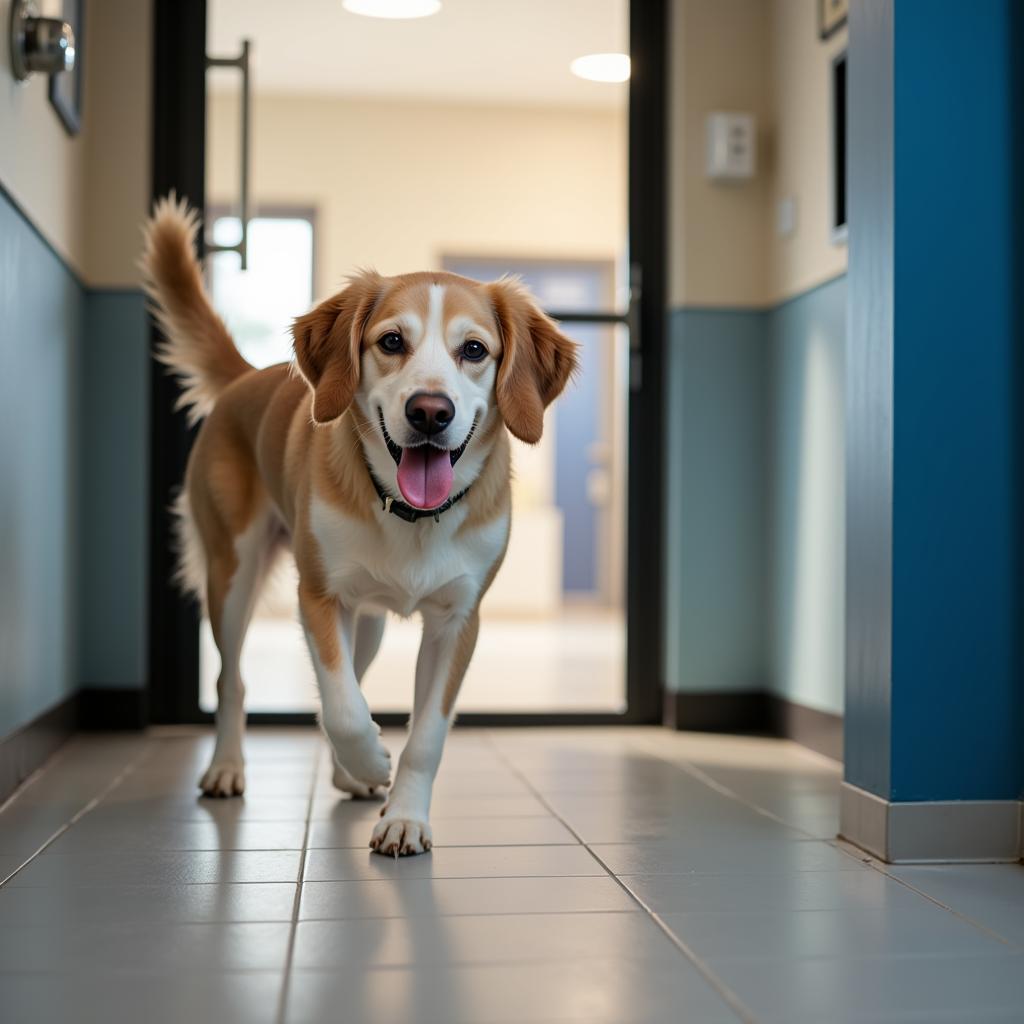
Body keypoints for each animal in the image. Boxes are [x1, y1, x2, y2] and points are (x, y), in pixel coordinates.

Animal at [140, 197, 581, 856]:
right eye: (392, 341)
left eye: (475, 351)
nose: (430, 412)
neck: (412, 515)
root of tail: (247, 375)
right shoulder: (320, 597)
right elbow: (342, 706)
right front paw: (372, 757)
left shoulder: (458, 621)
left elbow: (422, 732)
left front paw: (404, 815)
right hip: (232, 576)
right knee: (233, 680)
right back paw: (227, 766)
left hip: (368, 622)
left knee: (354, 673)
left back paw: (347, 777)